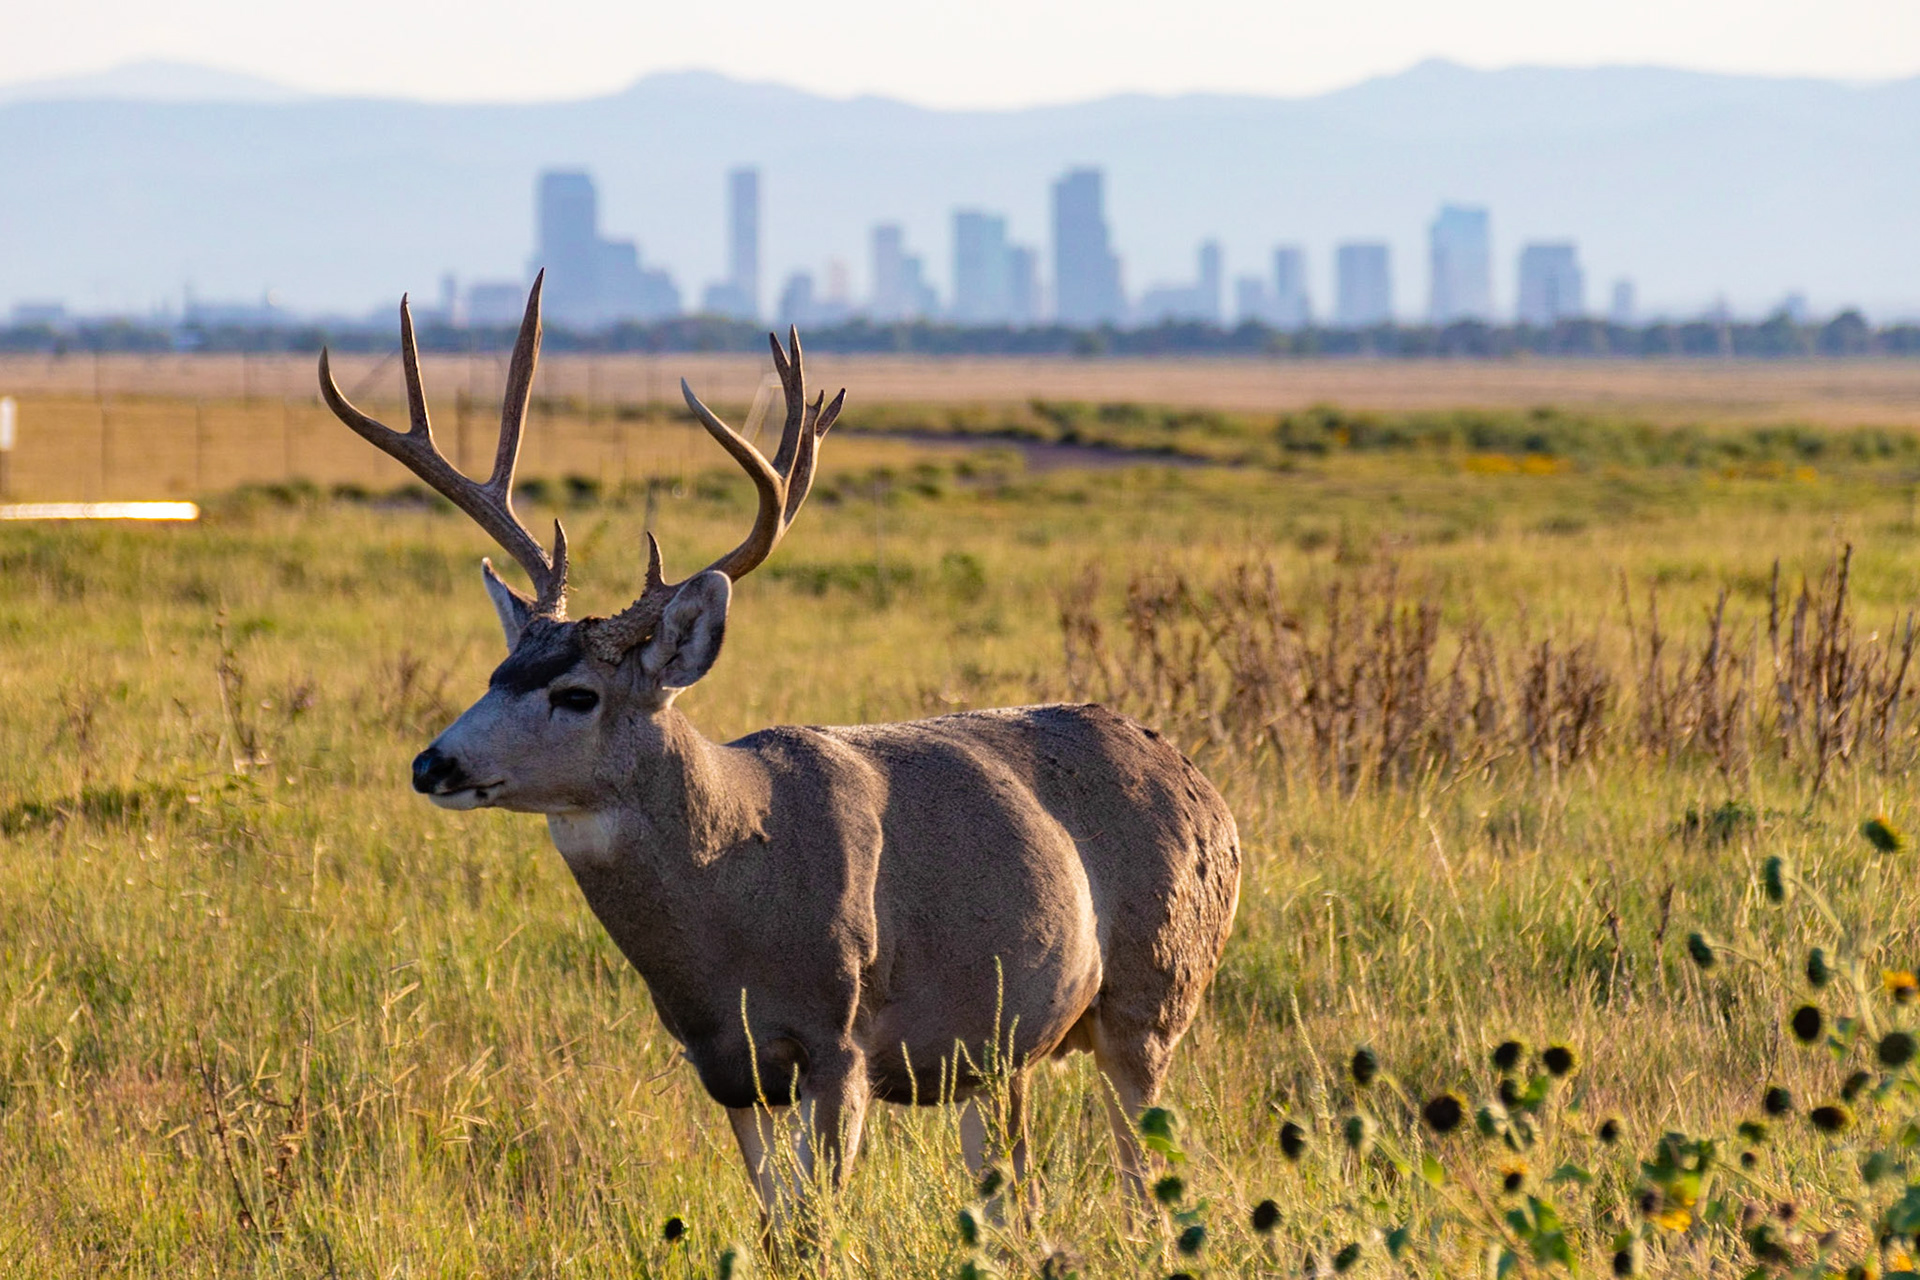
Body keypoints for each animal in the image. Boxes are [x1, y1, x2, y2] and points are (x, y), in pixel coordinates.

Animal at [319, 274, 1241, 1230]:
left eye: (577, 694)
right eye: (498, 673)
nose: (433, 764)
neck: (738, 882)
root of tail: (1207, 791)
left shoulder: (841, 1040)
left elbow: (814, 1229)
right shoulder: (729, 1068)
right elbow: (773, 1228)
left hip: (1154, 996)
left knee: (1147, 1181)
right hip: (1000, 1053)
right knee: (1013, 1186)